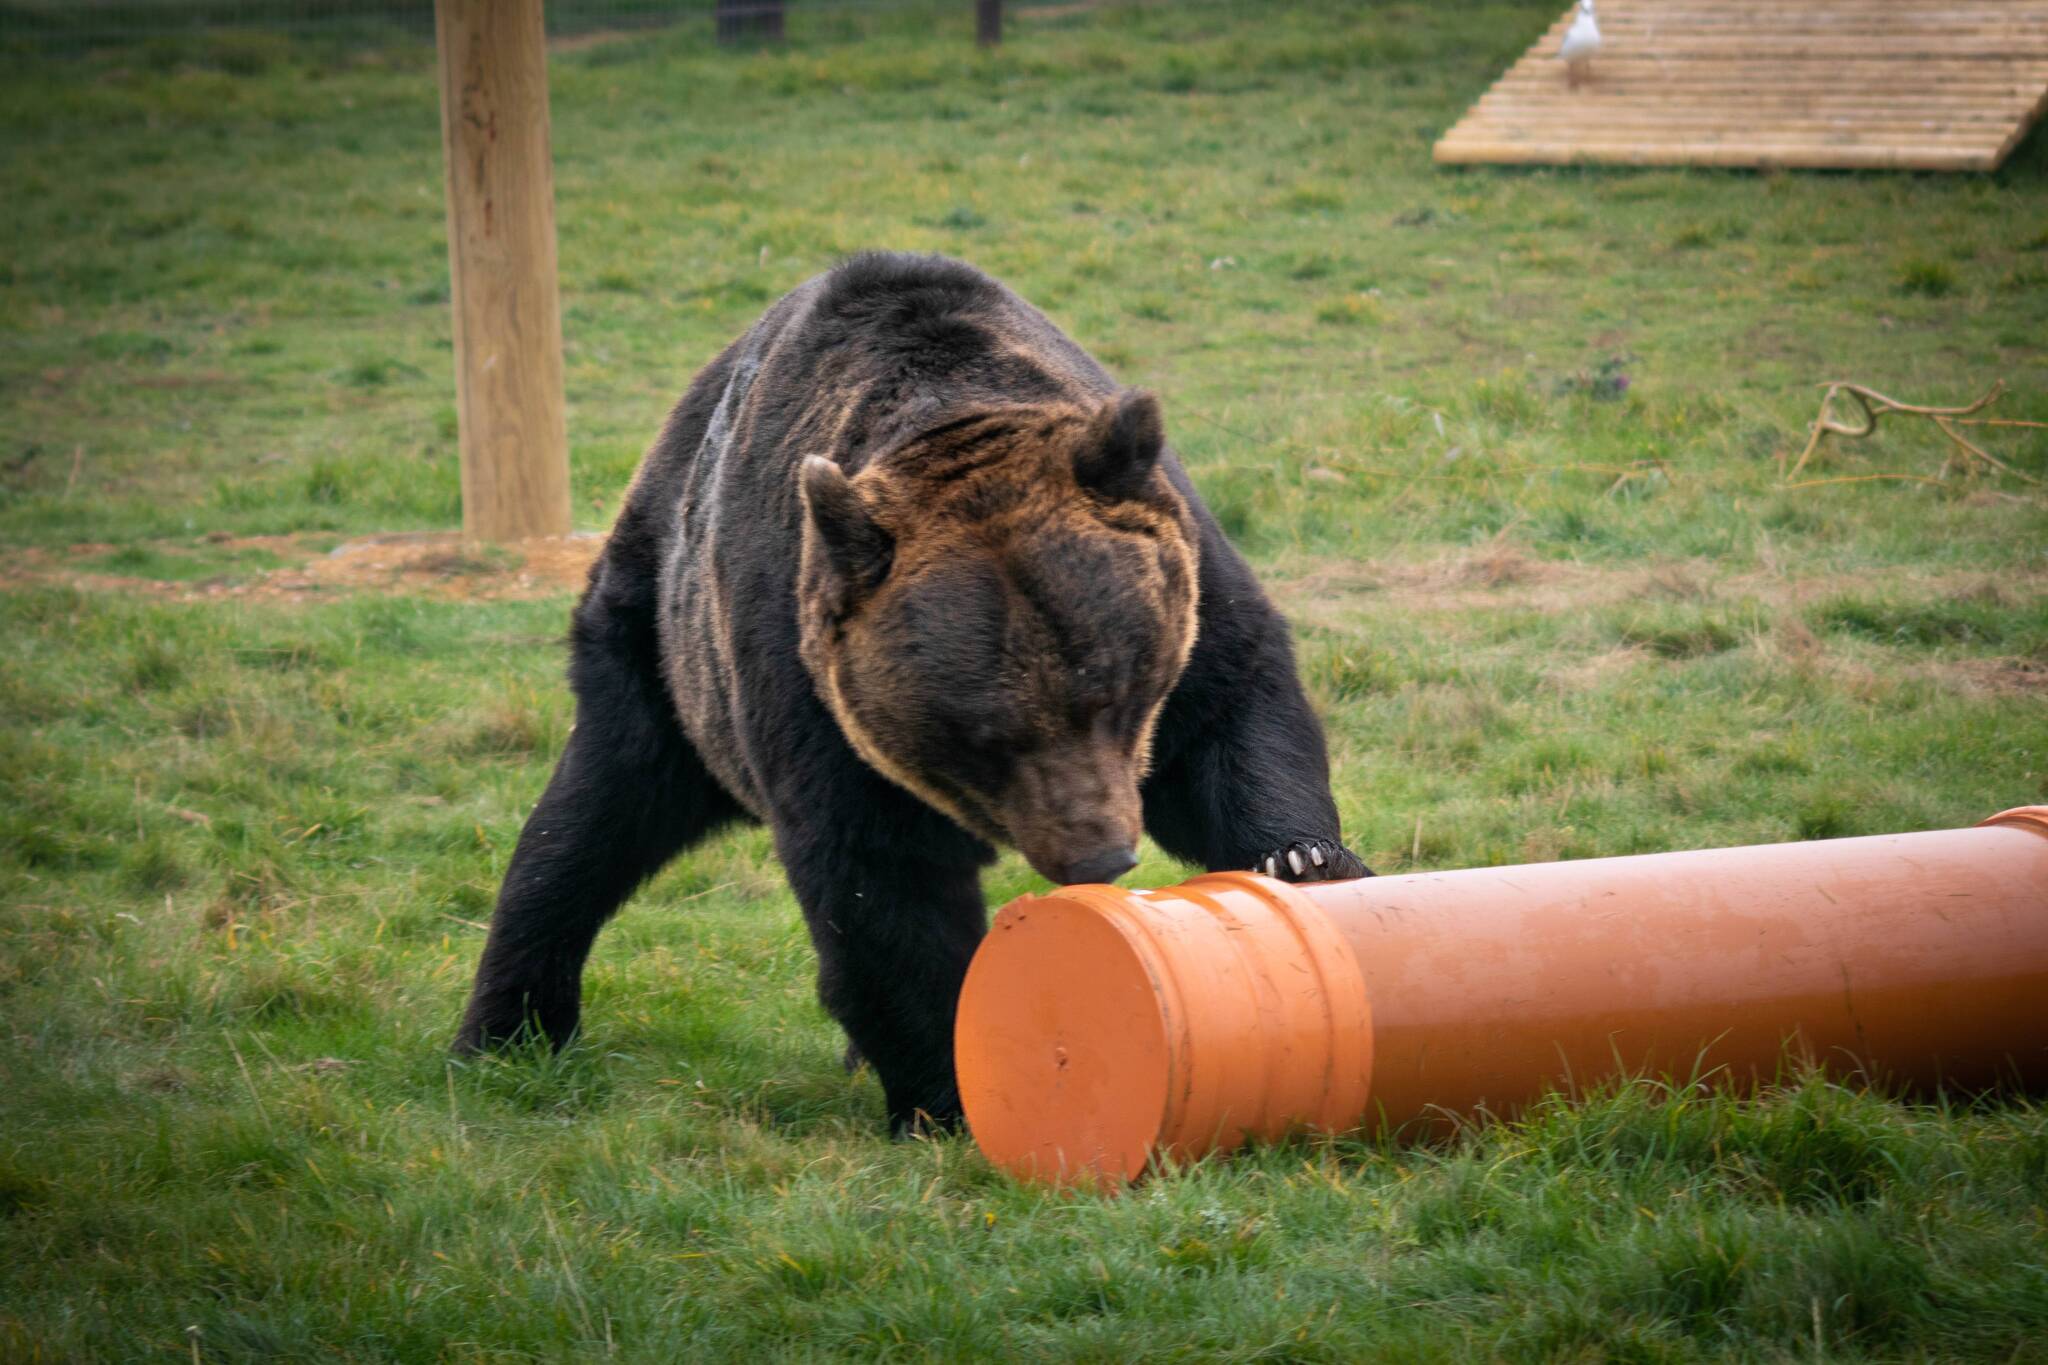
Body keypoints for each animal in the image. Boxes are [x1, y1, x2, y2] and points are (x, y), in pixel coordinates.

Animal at [456, 253, 1368, 1129]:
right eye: (987, 736)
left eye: (1115, 690)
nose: (1100, 855)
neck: (947, 410)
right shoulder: (813, 686)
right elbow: (883, 890)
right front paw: (952, 1092)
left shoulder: (1193, 598)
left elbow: (1235, 723)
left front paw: (1305, 859)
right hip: (660, 656)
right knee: (587, 825)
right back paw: (507, 1032)